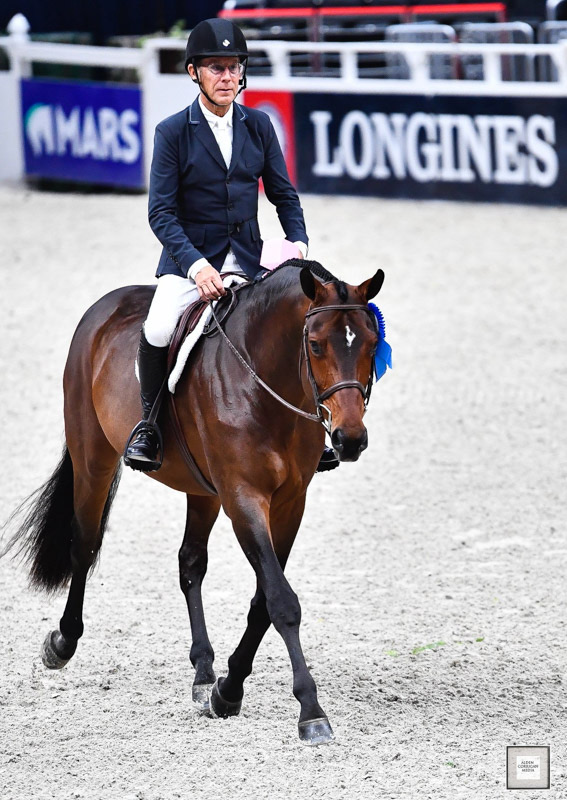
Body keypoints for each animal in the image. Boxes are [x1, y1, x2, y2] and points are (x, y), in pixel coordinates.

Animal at [5, 260, 386, 748]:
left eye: (372, 345)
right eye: (316, 345)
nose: (349, 439)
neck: (263, 376)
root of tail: (105, 306)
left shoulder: (288, 504)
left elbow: (262, 602)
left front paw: (227, 689)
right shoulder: (243, 497)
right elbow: (282, 601)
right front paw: (310, 711)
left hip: (202, 491)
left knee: (190, 563)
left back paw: (204, 671)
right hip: (93, 459)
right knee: (84, 546)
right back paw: (62, 643)